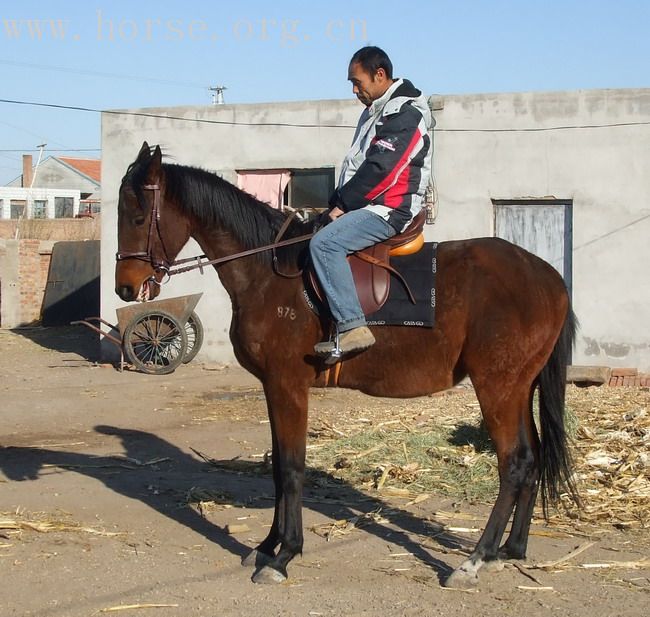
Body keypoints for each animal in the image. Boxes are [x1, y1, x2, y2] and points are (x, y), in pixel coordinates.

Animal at [114, 143, 576, 588]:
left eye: (137, 215)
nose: (125, 288)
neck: (268, 274)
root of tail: (548, 277)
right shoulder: (272, 387)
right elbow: (278, 468)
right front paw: (266, 546)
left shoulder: (287, 385)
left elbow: (292, 467)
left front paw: (284, 555)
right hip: (520, 387)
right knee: (532, 459)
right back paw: (509, 551)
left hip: (497, 386)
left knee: (514, 463)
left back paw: (476, 560)